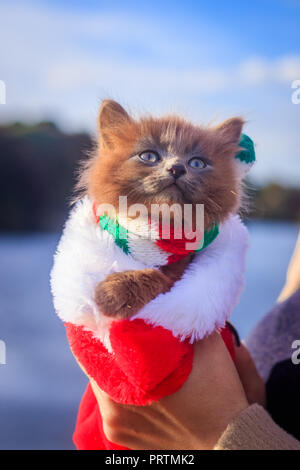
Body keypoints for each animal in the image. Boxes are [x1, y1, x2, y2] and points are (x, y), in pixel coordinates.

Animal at [76, 99, 245, 320]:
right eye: (149, 156)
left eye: (197, 163)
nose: (177, 168)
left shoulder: (182, 273)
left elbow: (160, 277)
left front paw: (114, 293)